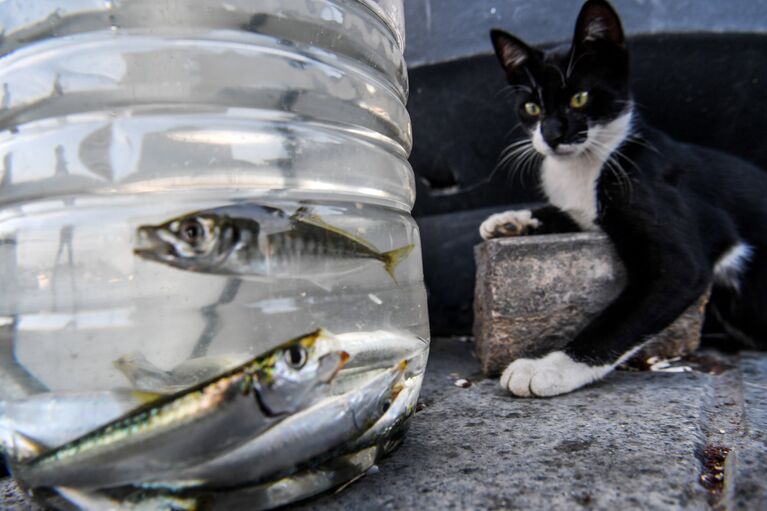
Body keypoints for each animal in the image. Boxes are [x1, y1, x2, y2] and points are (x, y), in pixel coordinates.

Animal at [484, 0, 767, 398]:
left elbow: (619, 320)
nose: (552, 135)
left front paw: (547, 368)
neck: (589, 165)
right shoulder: (583, 210)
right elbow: (564, 212)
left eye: (580, 98)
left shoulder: (678, 247)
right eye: (532, 108)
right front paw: (508, 221)